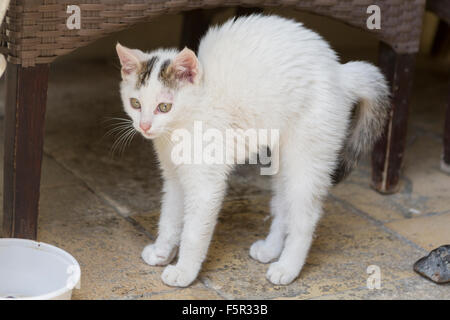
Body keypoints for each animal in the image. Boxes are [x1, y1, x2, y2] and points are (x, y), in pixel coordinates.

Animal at [116, 13, 390, 286]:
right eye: (135, 103)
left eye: (164, 107)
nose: (144, 125)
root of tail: (340, 72)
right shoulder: (173, 177)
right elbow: (169, 216)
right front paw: (162, 251)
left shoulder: (206, 183)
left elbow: (193, 233)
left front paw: (184, 271)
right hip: (283, 159)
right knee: (283, 205)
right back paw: (270, 249)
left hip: (307, 155)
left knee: (305, 216)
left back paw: (287, 267)